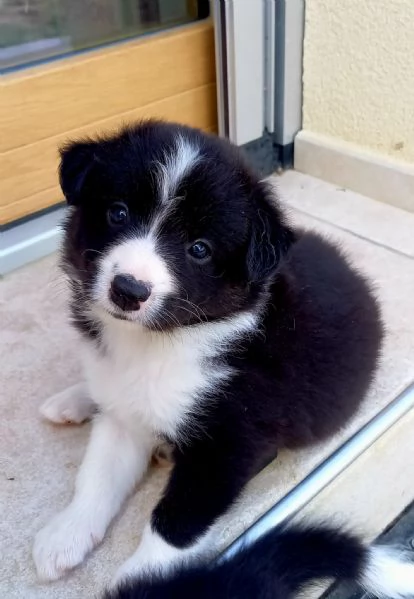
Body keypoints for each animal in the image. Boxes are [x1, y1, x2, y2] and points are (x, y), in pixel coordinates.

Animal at [31, 120, 382, 584]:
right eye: (118, 213)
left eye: (199, 248)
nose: (129, 290)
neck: (158, 342)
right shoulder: (123, 419)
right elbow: (96, 477)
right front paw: (66, 534)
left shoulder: (230, 443)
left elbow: (177, 519)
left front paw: (144, 581)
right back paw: (72, 400)